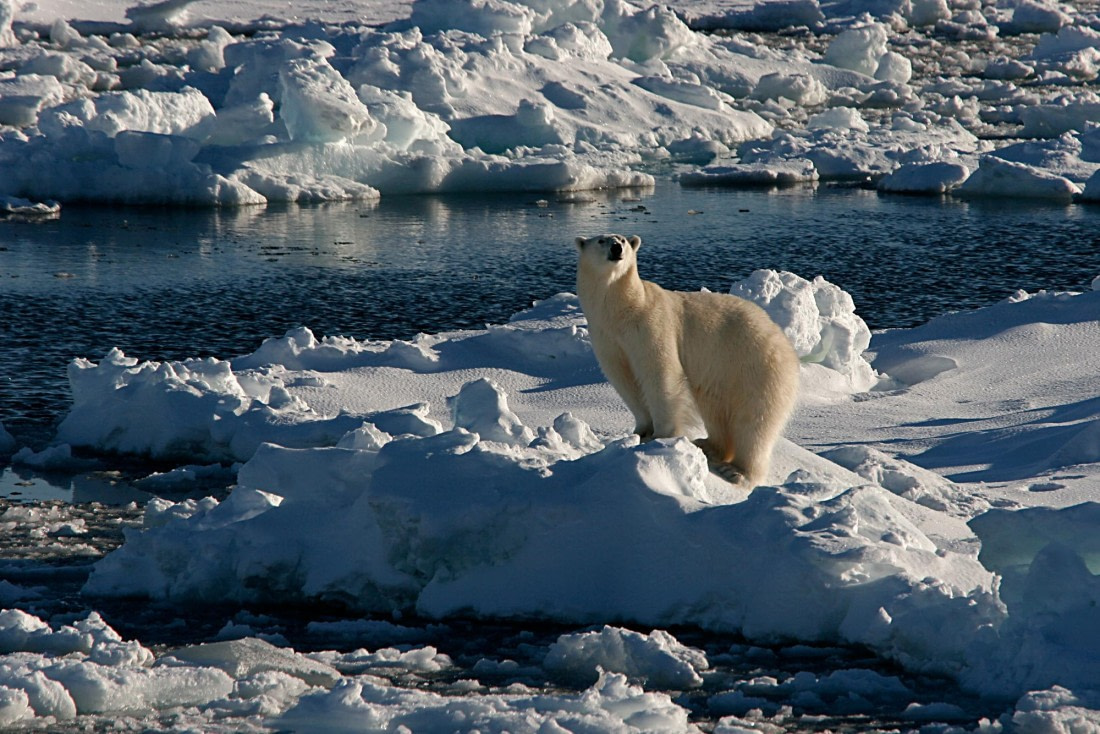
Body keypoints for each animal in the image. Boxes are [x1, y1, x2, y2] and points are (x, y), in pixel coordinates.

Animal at [574, 233, 799, 487]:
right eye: (601, 240)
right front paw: (640, 432)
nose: (616, 248)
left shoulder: (652, 324)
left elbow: (660, 374)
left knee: (754, 423)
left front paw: (661, 437)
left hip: (755, 366)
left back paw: (738, 472)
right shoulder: (607, 338)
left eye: (622, 239)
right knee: (715, 410)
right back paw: (708, 445)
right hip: (722, 374)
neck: (621, 312)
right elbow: (625, 380)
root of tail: (784, 343)